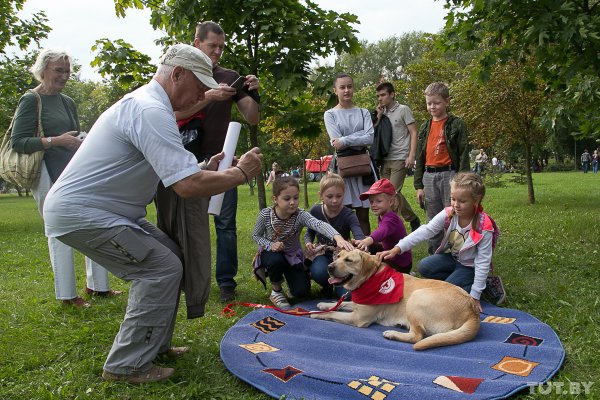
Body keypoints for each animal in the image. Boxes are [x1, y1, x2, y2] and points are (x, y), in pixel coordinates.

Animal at [312, 250, 480, 350]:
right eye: (337, 256)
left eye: (348, 260)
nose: (329, 267)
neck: (370, 277)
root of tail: (472, 309)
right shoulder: (358, 305)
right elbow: (342, 303)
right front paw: (324, 304)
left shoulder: (358, 318)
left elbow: (333, 314)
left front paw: (315, 313)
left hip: (416, 298)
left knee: (417, 336)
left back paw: (392, 333)